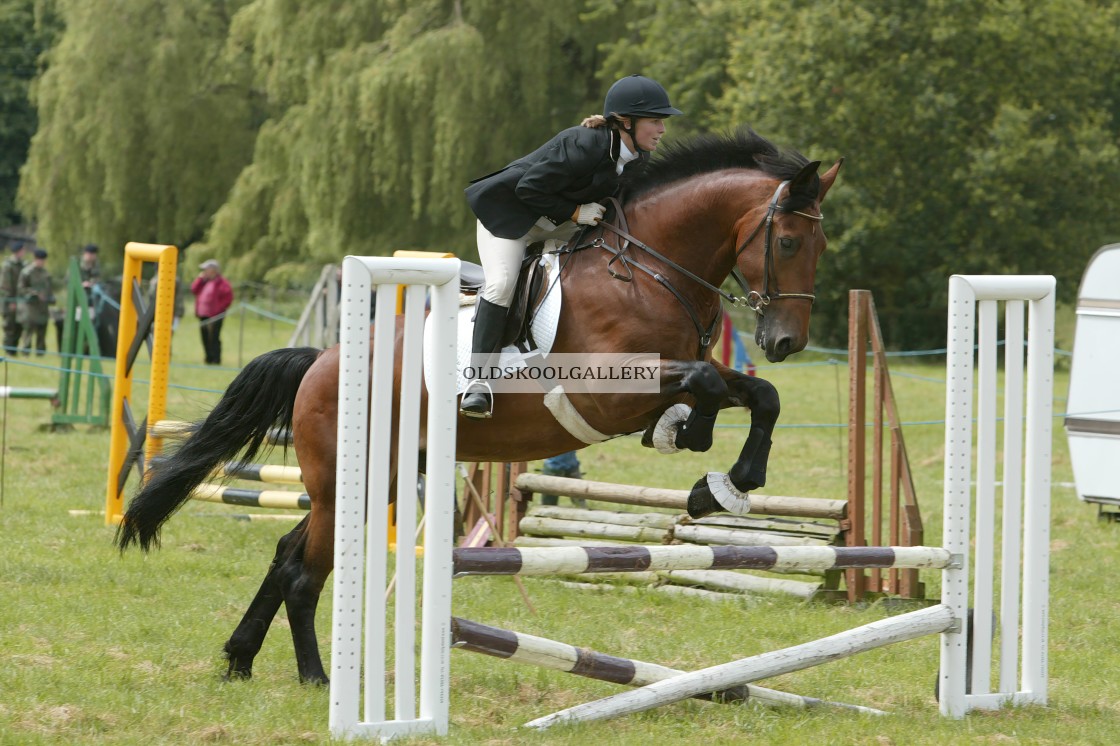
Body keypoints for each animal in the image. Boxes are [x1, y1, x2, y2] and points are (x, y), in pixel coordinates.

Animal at [118, 126, 842, 681]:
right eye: (786, 242)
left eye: (821, 245)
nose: (785, 341)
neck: (649, 269)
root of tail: (322, 361)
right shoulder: (609, 392)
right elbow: (710, 389)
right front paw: (694, 446)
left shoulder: (681, 373)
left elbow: (760, 394)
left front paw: (725, 483)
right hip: (349, 478)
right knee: (303, 573)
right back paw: (315, 676)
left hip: (375, 480)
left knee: (285, 554)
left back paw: (241, 659)